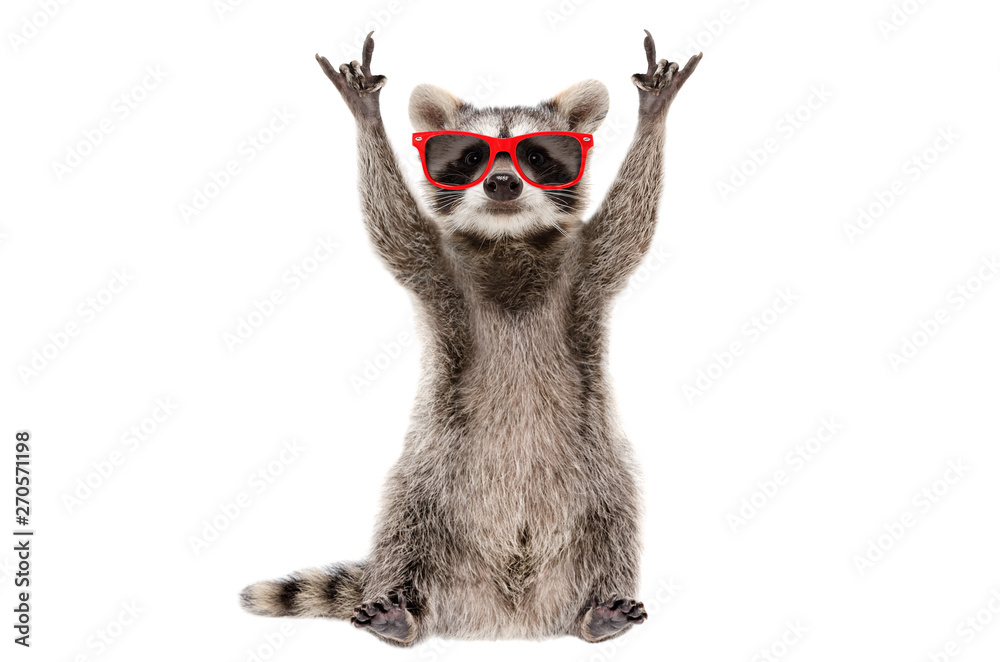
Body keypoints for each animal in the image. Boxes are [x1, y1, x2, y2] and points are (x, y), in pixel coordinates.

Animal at [240, 30, 700, 647]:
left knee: (616, 516)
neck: (509, 242)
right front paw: (366, 117)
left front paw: (653, 115)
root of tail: (508, 616)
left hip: (598, 466)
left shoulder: (587, 268)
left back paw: (598, 610)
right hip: (431, 471)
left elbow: (630, 225)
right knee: (402, 520)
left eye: (536, 156)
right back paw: (400, 612)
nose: (503, 182)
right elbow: (395, 229)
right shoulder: (439, 270)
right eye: (469, 157)